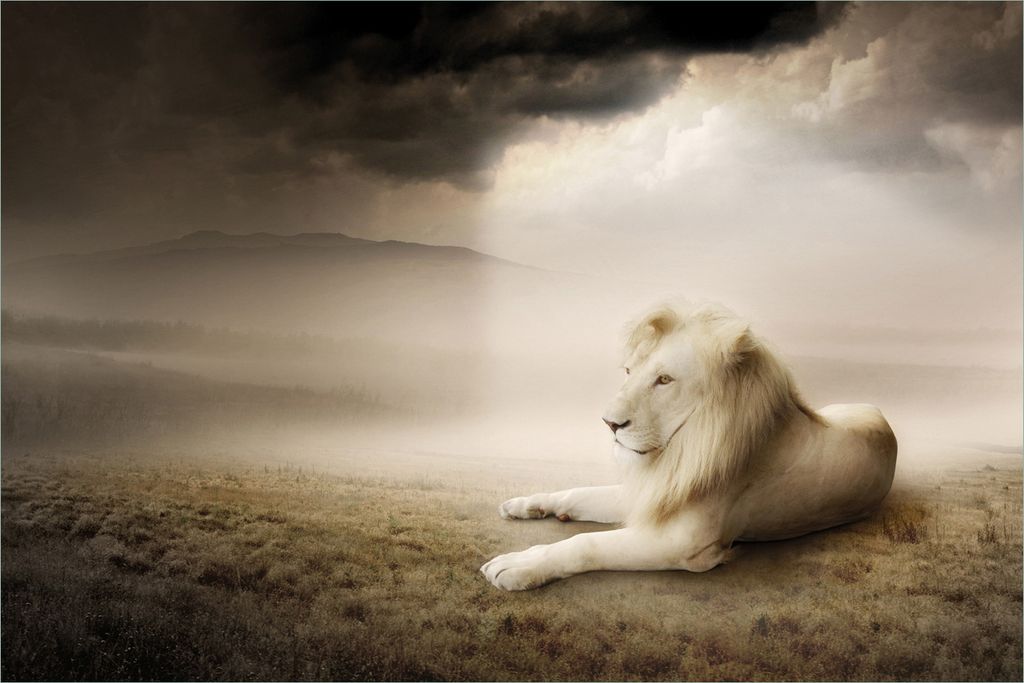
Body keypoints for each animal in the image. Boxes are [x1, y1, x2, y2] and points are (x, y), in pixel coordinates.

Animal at [481, 302, 897, 591]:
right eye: (629, 372)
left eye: (664, 380)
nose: (609, 423)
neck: (678, 452)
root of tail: (882, 415)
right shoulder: (653, 494)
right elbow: (579, 493)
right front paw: (528, 504)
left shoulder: (685, 544)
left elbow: (587, 544)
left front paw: (518, 566)